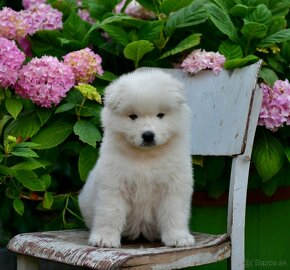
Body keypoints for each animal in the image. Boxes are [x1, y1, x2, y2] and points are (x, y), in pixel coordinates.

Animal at [78, 68, 194, 248]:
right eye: (133, 116)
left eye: (160, 115)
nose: (148, 135)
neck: (145, 157)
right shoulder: (113, 186)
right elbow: (109, 213)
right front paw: (105, 238)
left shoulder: (174, 186)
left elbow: (174, 213)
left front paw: (178, 237)